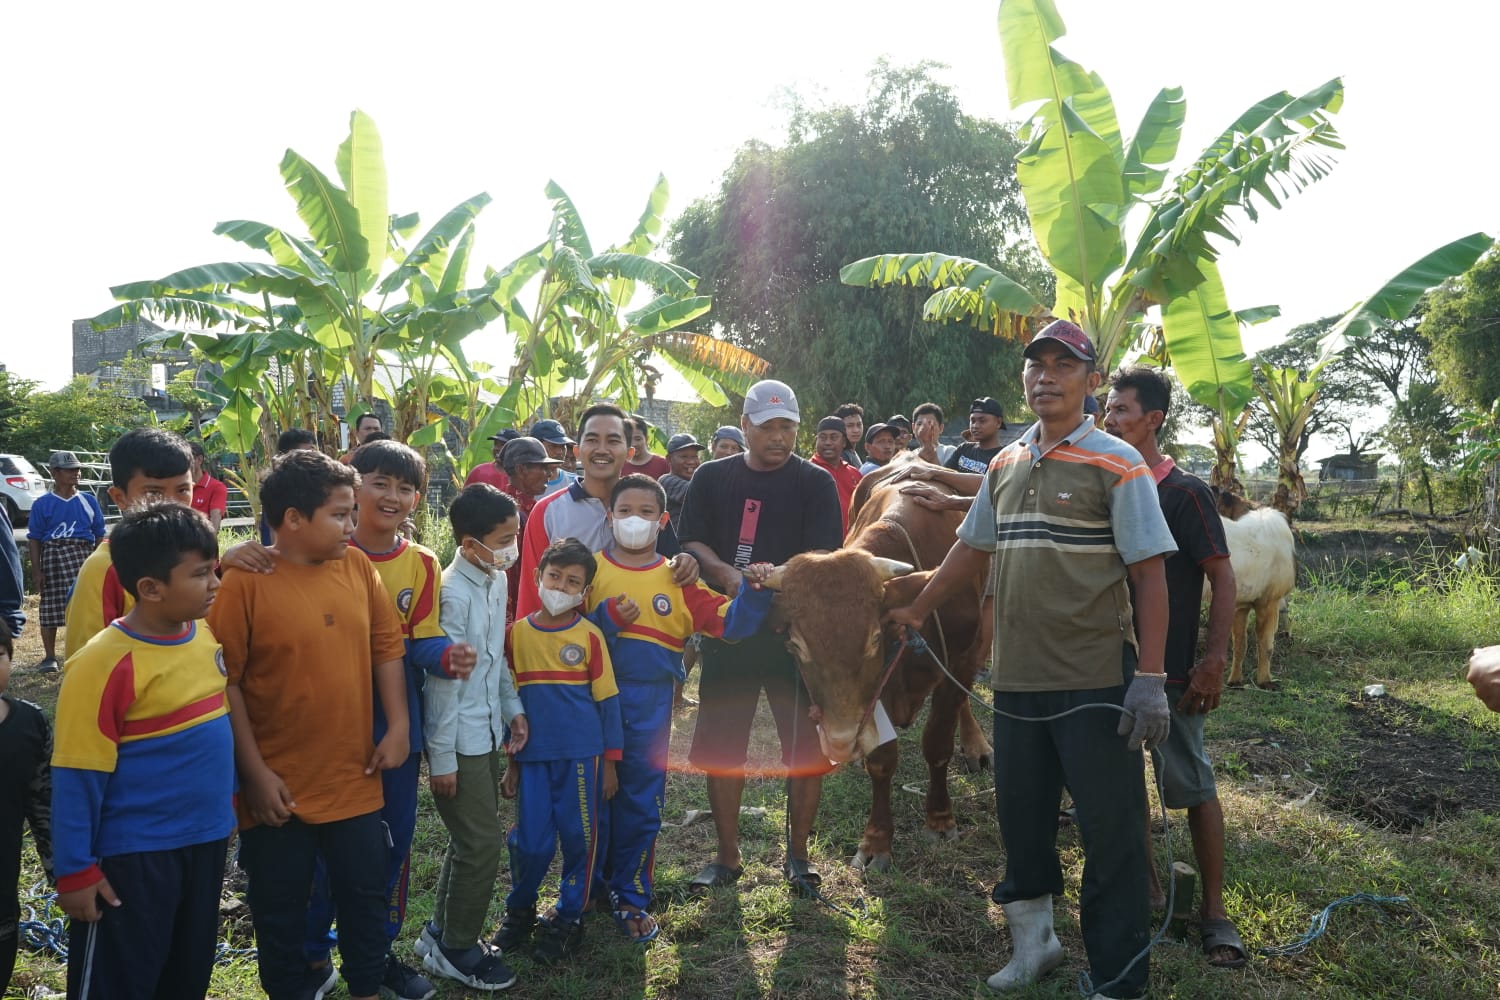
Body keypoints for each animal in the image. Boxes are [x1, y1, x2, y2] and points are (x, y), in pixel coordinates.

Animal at [762, 458, 996, 869]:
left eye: (874, 638)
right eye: (796, 645)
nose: (839, 741)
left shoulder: (961, 658)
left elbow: (938, 741)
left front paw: (940, 820)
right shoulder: (877, 689)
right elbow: (882, 760)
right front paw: (876, 842)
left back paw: (975, 746)